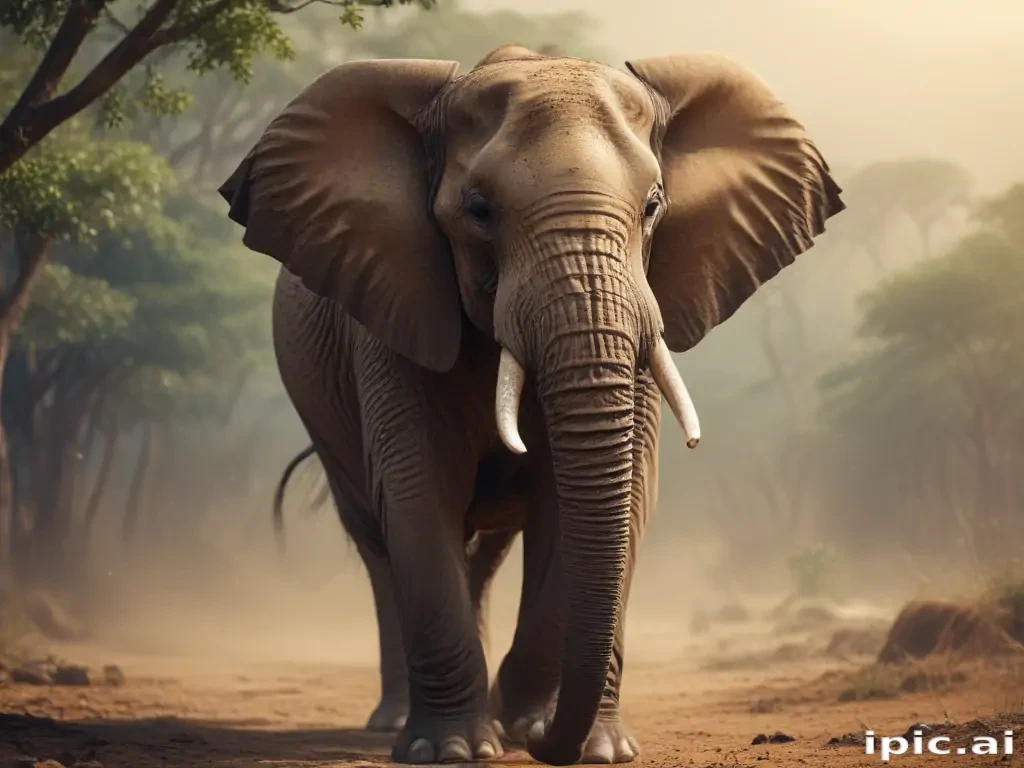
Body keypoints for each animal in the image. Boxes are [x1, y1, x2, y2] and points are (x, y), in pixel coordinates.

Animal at [220, 43, 844, 766]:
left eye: (654, 205)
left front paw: (584, 744)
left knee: (484, 553)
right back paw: (402, 724)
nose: (542, 737)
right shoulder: (393, 317)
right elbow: (418, 493)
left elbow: (611, 497)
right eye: (479, 209)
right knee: (379, 539)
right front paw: (455, 748)